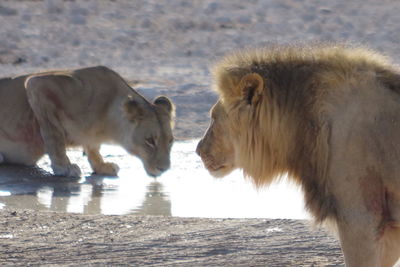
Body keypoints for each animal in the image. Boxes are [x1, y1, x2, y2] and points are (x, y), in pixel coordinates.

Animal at [0, 66, 175, 178]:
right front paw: (64, 167)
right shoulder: (38, 85)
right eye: (150, 141)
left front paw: (101, 166)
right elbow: (54, 137)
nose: (164, 169)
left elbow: (93, 147)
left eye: (170, 141)